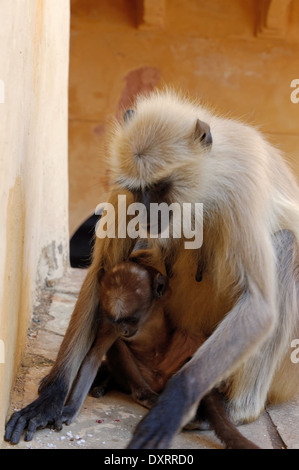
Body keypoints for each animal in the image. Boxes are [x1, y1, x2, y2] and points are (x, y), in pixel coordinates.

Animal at [62, 252, 260, 450]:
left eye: (132, 319)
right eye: (119, 321)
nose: (124, 331)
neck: (146, 320)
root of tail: (158, 380)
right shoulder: (110, 322)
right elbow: (94, 356)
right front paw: (70, 408)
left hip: (170, 368)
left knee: (193, 340)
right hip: (146, 375)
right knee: (119, 346)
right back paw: (145, 395)